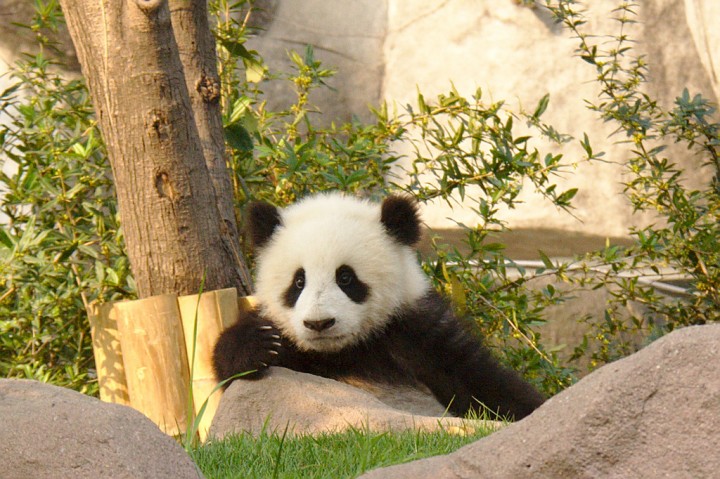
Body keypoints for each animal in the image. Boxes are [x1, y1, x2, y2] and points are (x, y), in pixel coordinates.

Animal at [212, 193, 545, 420]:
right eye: (298, 282)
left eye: (346, 277)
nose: (319, 323)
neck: (344, 351)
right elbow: (227, 370)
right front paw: (258, 344)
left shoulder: (415, 332)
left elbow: (478, 379)